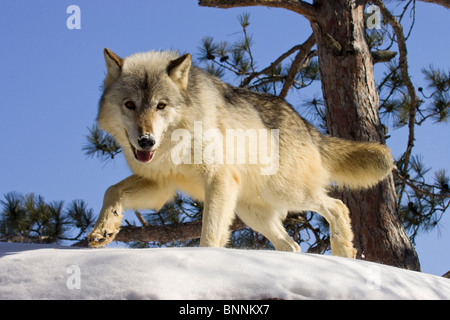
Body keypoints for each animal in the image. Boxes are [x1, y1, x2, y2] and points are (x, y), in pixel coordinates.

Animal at [88, 48, 394, 258]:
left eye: (160, 106)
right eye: (130, 104)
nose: (146, 141)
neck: (174, 144)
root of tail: (307, 126)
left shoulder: (218, 179)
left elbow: (211, 232)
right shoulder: (161, 185)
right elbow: (111, 190)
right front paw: (103, 230)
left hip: (285, 192)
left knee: (337, 206)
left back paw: (343, 254)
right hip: (252, 212)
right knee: (292, 245)